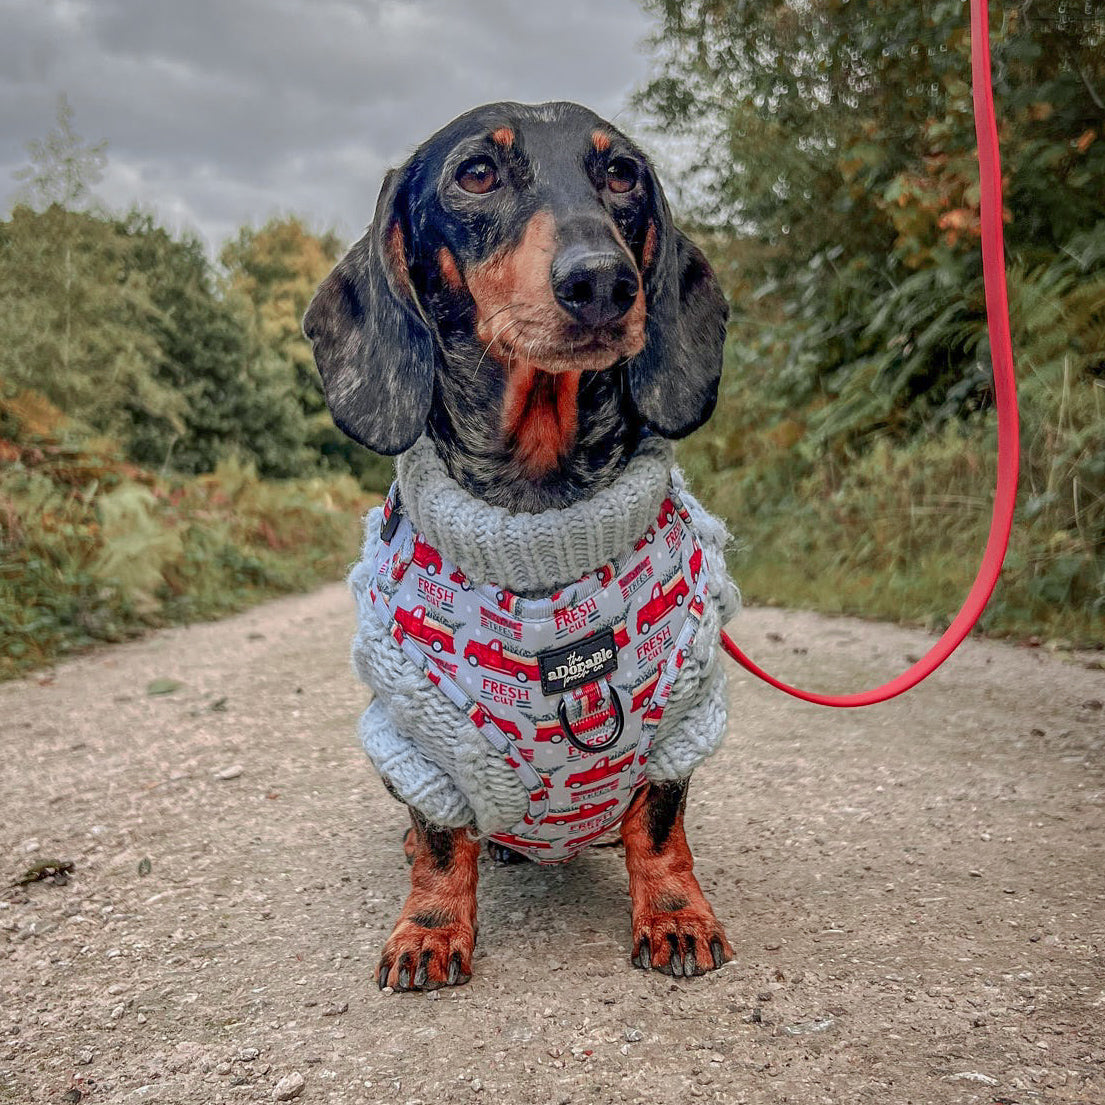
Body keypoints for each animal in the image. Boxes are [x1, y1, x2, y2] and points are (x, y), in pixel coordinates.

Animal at [302, 101, 733, 994]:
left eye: (621, 174)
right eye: (476, 173)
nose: (601, 281)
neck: (539, 528)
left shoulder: (686, 714)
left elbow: (660, 824)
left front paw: (675, 913)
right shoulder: (417, 735)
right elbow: (440, 842)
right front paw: (429, 928)